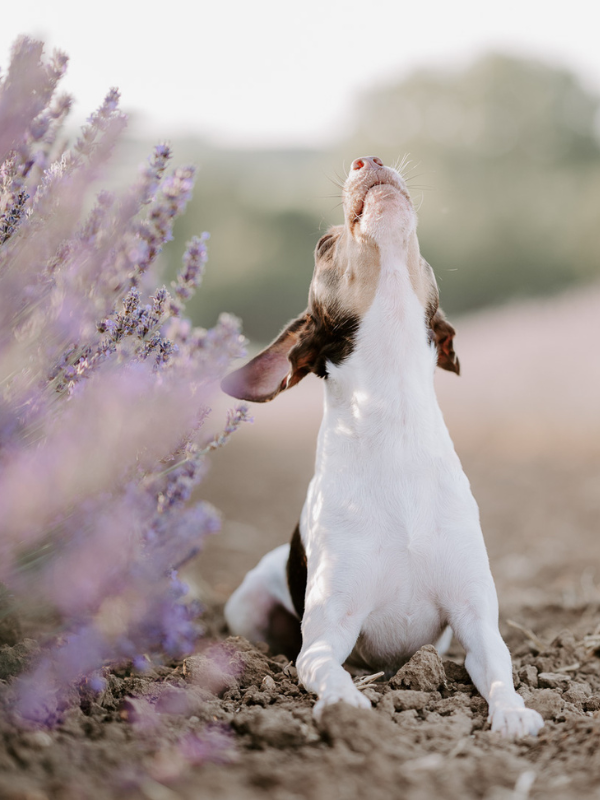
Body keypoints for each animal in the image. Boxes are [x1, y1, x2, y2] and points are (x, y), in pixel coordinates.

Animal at [220, 156, 544, 736]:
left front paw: (512, 712)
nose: (367, 158)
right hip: (247, 607)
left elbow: (500, 671)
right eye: (323, 243)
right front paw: (346, 706)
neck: (395, 420)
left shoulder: (474, 619)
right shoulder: (327, 635)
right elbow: (326, 668)